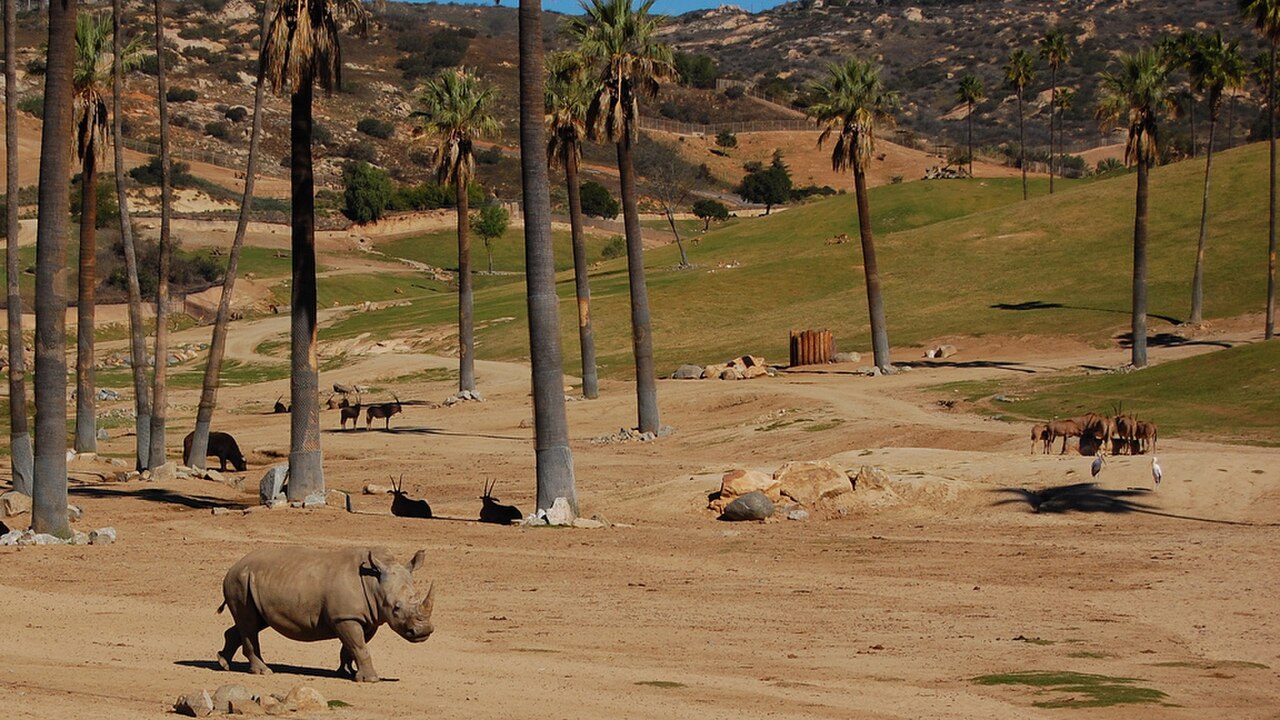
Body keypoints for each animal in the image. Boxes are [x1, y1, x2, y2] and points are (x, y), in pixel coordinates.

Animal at [216, 546, 435, 682]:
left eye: (417, 596)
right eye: (396, 608)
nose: (423, 632)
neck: (374, 583)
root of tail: (234, 565)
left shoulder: (368, 617)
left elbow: (352, 647)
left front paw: (347, 673)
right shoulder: (345, 617)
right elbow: (359, 647)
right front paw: (371, 679)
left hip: (253, 582)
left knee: (253, 622)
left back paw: (223, 663)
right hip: (239, 580)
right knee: (249, 624)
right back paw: (264, 672)